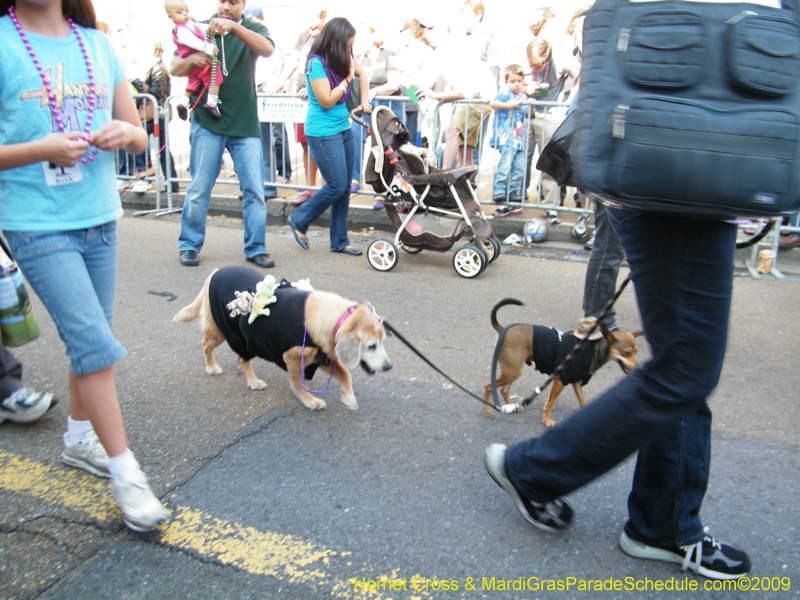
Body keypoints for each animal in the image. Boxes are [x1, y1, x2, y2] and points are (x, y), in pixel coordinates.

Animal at [173, 268, 392, 412]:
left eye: (383, 341)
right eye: (371, 346)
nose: (389, 367)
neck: (336, 319)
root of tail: (215, 272)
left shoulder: (322, 357)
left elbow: (346, 375)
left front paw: (348, 398)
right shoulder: (293, 359)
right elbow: (299, 384)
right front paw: (309, 400)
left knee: (240, 359)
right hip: (222, 332)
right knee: (213, 348)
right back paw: (218, 369)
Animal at [482, 298, 644, 426]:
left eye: (636, 351)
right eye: (626, 353)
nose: (638, 367)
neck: (592, 349)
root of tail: (502, 329)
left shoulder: (575, 381)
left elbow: (583, 402)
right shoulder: (560, 381)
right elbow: (550, 404)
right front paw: (546, 421)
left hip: (513, 371)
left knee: (503, 390)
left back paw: (511, 406)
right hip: (512, 371)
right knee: (489, 386)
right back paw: (488, 410)